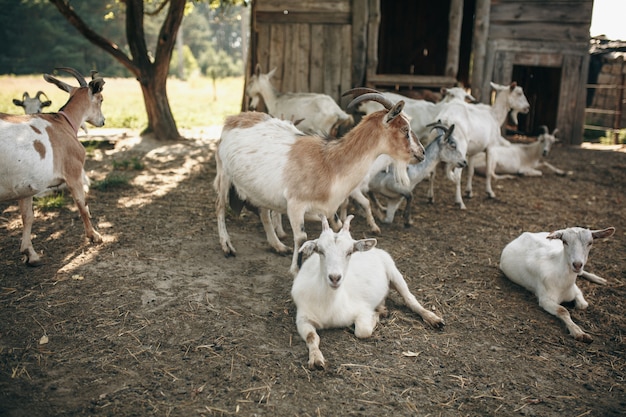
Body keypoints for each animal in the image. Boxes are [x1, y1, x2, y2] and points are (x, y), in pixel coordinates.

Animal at [0, 67, 105, 264]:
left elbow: (28, 216)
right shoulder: (73, 172)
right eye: (101, 99)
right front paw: (94, 236)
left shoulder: (25, 186)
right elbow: (82, 204)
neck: (63, 122)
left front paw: (30, 254)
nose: (103, 121)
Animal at [214, 89, 424, 274]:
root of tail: (232, 119)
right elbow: (301, 237)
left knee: (263, 212)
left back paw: (278, 246)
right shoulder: (295, 205)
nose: (421, 153)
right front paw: (296, 271)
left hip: (260, 188)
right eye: (405, 130)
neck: (330, 163)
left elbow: (336, 230)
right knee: (221, 206)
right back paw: (227, 246)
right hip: (224, 173)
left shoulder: (328, 209)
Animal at [292, 214, 444, 368]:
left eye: (349, 252)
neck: (329, 304)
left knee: (410, 299)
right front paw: (316, 359)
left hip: (393, 271)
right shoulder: (303, 318)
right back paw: (383, 308)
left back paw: (434, 319)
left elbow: (363, 331)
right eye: (320, 251)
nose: (335, 278)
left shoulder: (362, 309)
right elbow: (312, 337)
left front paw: (375, 316)